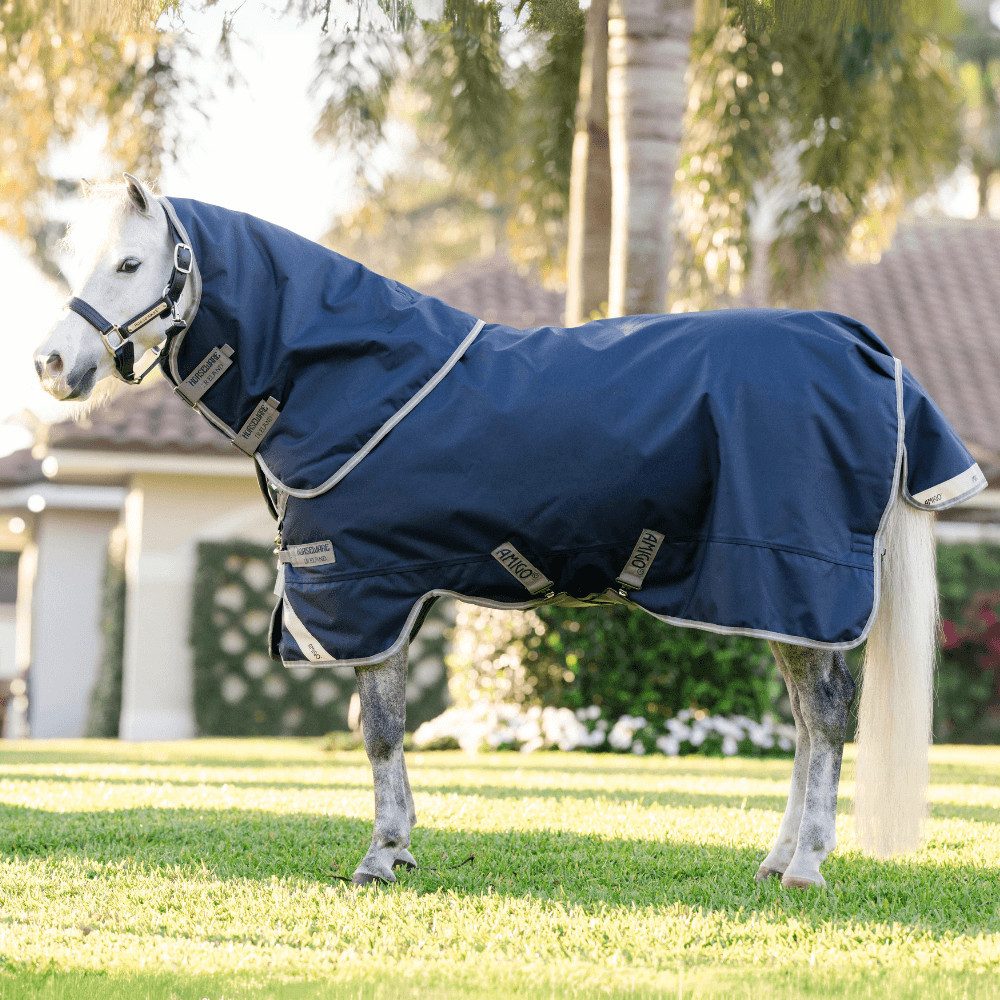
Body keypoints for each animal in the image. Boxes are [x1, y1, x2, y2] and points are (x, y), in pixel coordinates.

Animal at [34, 174, 984, 888]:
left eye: (130, 262)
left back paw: (806, 866)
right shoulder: (386, 596)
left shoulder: (365, 592)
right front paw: (399, 848)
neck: (347, 381)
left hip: (795, 583)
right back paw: (778, 858)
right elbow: (381, 728)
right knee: (805, 722)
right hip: (777, 601)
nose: (50, 365)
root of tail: (872, 353)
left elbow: (378, 730)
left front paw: (381, 856)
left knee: (825, 720)